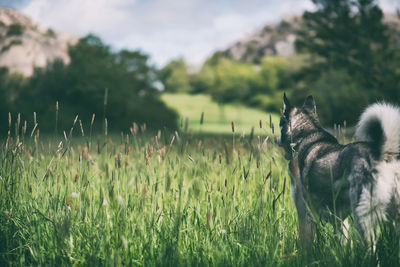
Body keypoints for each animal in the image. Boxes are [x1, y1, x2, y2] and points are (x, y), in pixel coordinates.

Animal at [276, 94, 400, 249]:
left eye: (280, 123)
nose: (276, 140)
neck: (306, 134)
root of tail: (383, 153)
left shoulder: (303, 210)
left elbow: (306, 243)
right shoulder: (339, 219)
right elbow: (343, 241)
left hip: (362, 215)